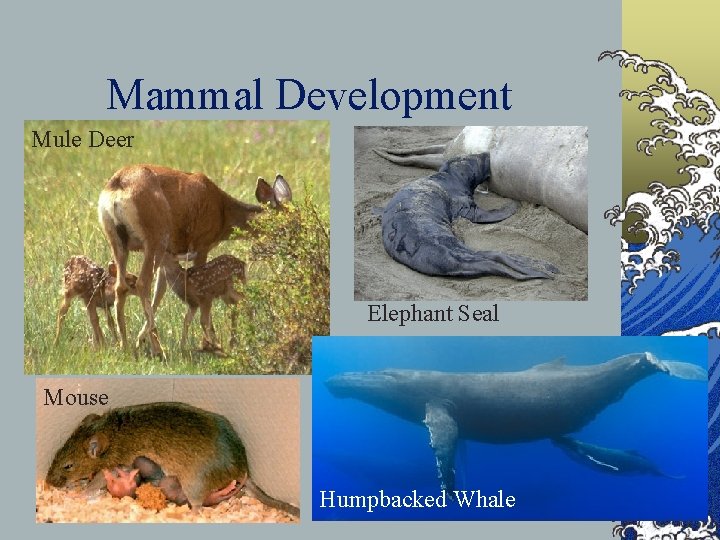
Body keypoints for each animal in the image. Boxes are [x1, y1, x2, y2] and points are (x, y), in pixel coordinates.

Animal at [97, 164, 291, 356]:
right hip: (155, 238)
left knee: (121, 286)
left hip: (118, 241)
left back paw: (125, 346)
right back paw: (158, 350)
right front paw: (211, 343)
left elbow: (160, 293)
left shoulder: (170, 255)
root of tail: (117, 185)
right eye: (285, 224)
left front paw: (140, 340)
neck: (224, 215)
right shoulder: (201, 245)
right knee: (143, 283)